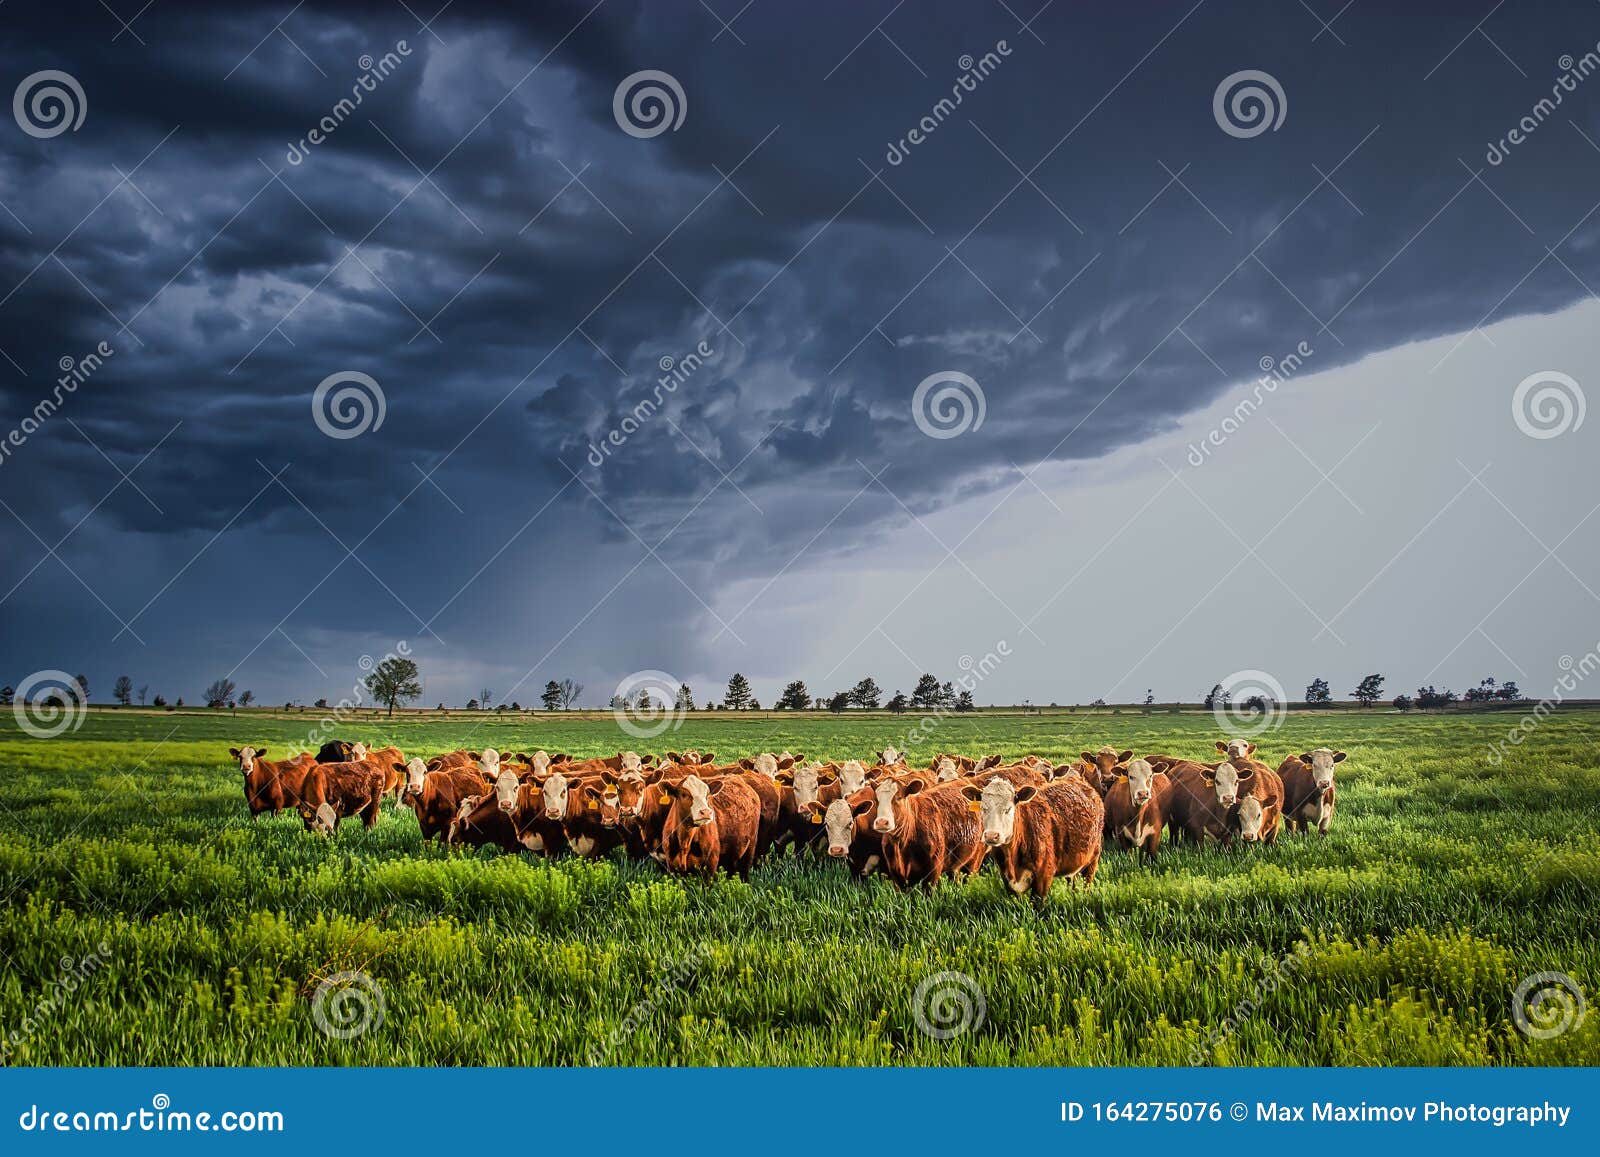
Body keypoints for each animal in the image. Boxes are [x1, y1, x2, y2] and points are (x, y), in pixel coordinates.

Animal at [961, 775, 1103, 901]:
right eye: (983, 808)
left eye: (1008, 809)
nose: (991, 835)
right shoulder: (1006, 878)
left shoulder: (1043, 876)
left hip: (1093, 860)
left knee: (1086, 883)